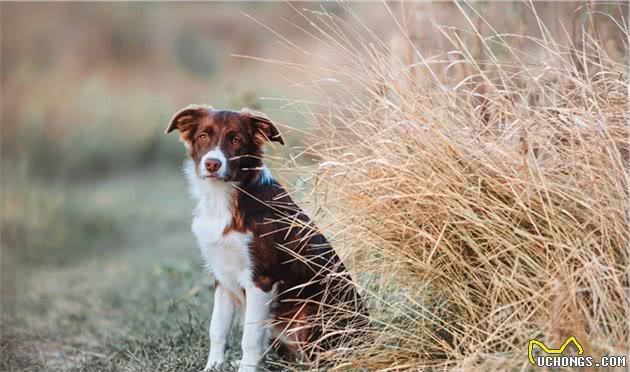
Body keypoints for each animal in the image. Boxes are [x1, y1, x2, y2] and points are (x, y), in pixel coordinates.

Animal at [165, 105, 368, 372]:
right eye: (203, 136)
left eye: (236, 140)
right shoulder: (222, 277)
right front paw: (213, 366)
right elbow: (217, 329)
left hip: (309, 313)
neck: (224, 200)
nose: (212, 164)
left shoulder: (260, 279)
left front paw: (246, 369)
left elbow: (250, 337)